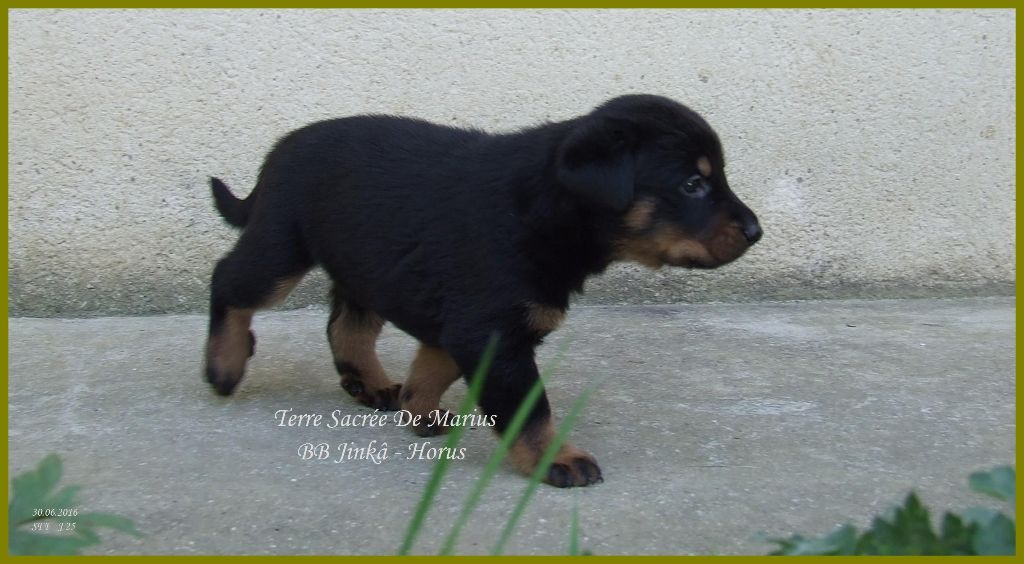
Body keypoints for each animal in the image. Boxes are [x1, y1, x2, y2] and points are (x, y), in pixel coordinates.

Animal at [203, 94, 761, 487]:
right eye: (692, 184)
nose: (756, 230)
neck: (545, 208)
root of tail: (280, 149)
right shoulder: (492, 331)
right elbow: (529, 409)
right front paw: (558, 459)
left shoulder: (471, 326)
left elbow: (433, 367)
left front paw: (419, 410)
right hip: (280, 246)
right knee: (230, 280)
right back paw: (224, 366)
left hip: (363, 262)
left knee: (348, 323)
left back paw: (371, 384)